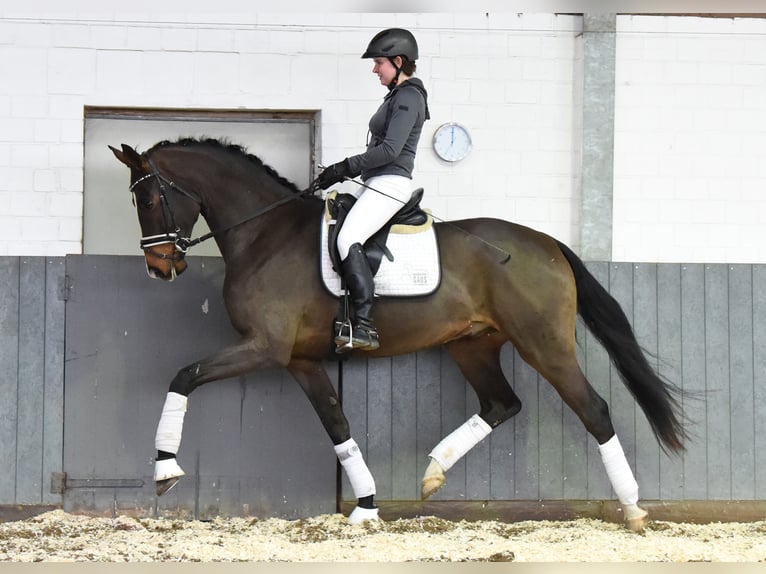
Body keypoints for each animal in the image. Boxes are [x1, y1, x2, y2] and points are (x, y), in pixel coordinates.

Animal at [109, 137, 688, 532]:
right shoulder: (298, 359)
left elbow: (184, 375)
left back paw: (634, 509)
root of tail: (547, 243)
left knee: (594, 410)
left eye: (150, 201)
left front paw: (164, 468)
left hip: (545, 344)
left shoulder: (265, 348)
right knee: (502, 404)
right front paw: (366, 507)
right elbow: (337, 423)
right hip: (472, 345)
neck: (265, 235)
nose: (160, 268)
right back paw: (432, 473)